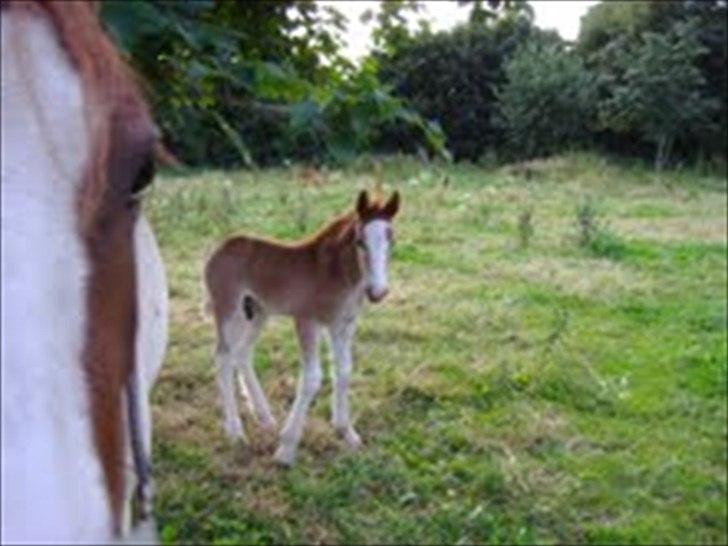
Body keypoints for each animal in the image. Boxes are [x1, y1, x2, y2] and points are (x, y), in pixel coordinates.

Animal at [203, 190, 398, 464]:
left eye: (392, 239)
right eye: (360, 241)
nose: (377, 292)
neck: (334, 272)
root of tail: (219, 248)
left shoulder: (342, 326)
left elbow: (344, 370)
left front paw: (346, 432)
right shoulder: (307, 321)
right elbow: (312, 377)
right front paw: (287, 448)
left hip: (257, 313)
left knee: (240, 354)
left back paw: (264, 416)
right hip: (229, 311)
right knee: (222, 357)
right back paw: (235, 431)